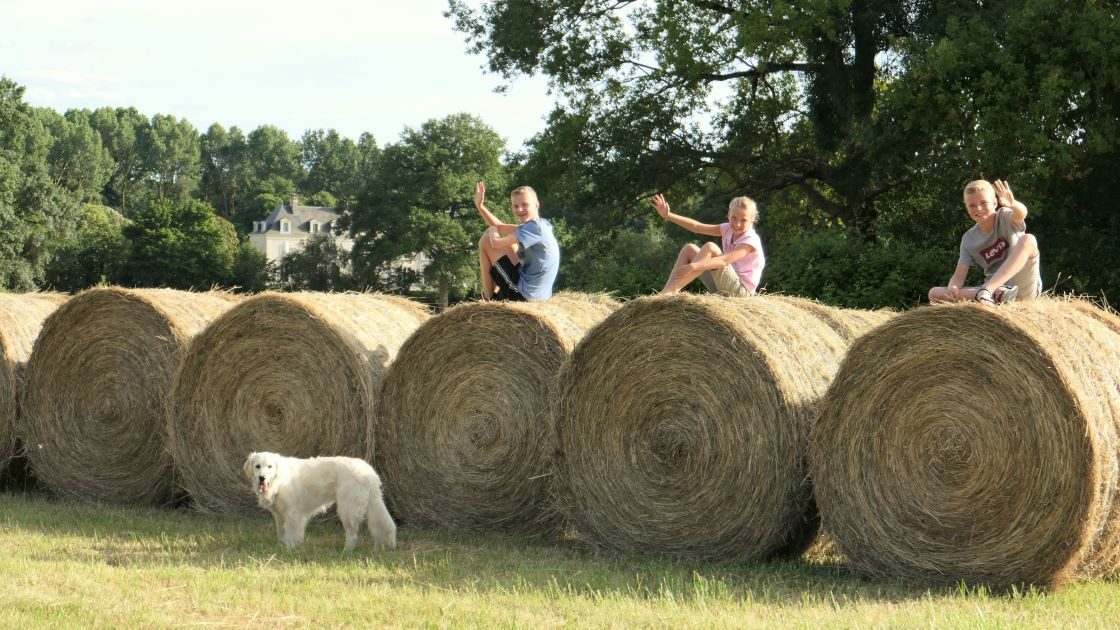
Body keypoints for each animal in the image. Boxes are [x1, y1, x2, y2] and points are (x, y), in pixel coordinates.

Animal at [244, 450, 398, 549]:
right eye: (257, 466)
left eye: (270, 466)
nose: (262, 478)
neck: (279, 479)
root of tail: (368, 469)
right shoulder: (279, 516)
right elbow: (281, 533)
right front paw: (280, 548)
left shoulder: (293, 515)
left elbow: (291, 535)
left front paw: (290, 550)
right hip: (370, 505)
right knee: (377, 527)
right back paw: (377, 549)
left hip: (347, 509)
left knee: (353, 535)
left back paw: (345, 552)